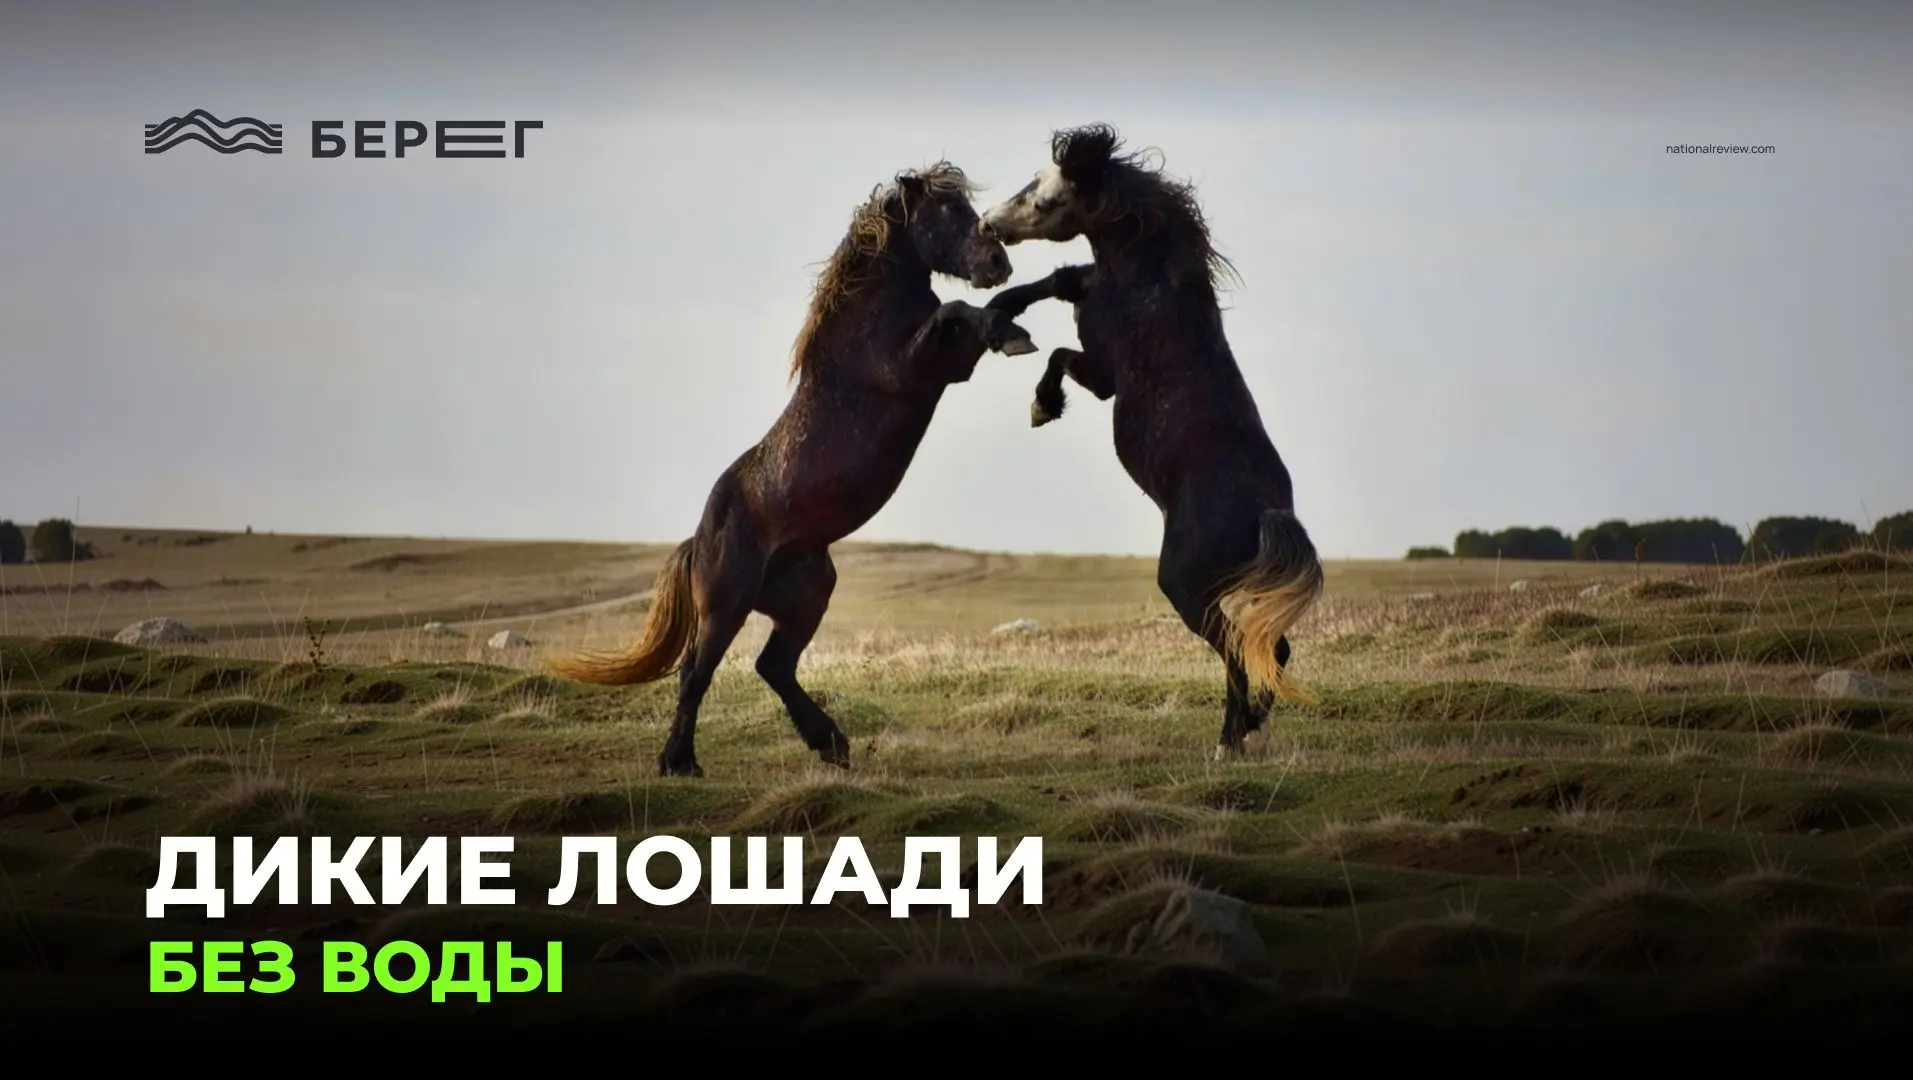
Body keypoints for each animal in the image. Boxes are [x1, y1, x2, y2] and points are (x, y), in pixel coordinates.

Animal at [546, 162, 1037, 778]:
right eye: (947, 211)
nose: (997, 261)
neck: (871, 312)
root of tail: (699, 539)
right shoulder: (918, 365)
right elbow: (957, 312)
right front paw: (1009, 334)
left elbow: (994, 308)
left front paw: (1022, 321)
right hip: (727, 604)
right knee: (696, 672)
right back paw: (681, 763)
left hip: (807, 596)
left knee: (772, 666)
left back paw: (829, 744)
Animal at [976, 124, 1325, 759]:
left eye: (1044, 196)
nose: (990, 224)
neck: (1150, 279)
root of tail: (1270, 515)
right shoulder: (1087, 288)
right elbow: (1059, 279)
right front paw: (1002, 312)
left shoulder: (1103, 373)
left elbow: (1060, 353)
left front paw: (1042, 405)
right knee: (1270, 649)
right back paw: (1253, 729)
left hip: (1186, 587)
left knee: (1239, 651)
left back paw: (1230, 740)